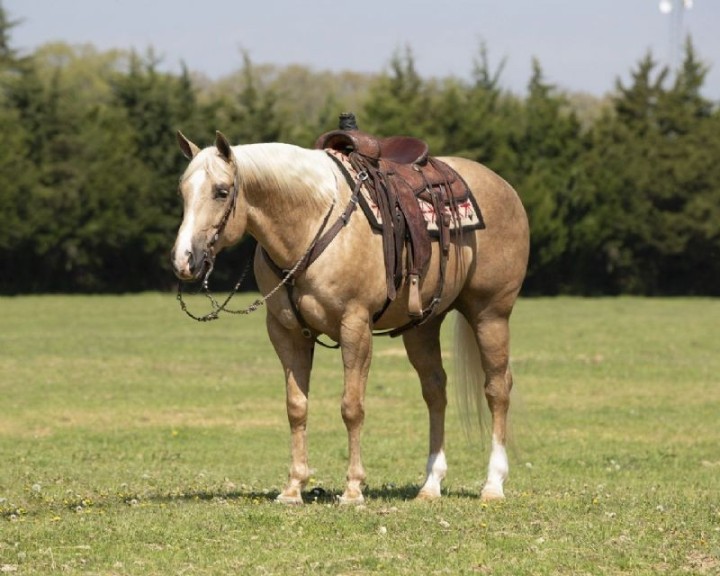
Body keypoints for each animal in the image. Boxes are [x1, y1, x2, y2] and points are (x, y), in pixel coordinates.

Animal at [171, 130, 529, 504]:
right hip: (423, 325)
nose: (184, 259)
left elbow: (351, 407)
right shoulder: (285, 331)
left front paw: (353, 488)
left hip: (490, 313)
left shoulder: (355, 326)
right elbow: (296, 406)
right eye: (183, 191)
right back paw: (430, 485)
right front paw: (293, 487)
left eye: (221, 191)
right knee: (435, 391)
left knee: (497, 389)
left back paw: (493, 484)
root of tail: (503, 186)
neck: (310, 222)